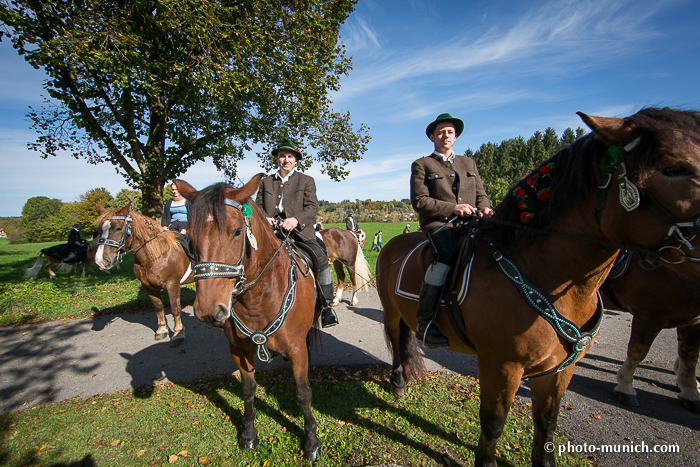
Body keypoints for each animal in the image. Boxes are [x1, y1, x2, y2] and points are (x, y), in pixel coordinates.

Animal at [93, 205, 193, 344]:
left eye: (118, 228)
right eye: (97, 230)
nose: (101, 261)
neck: (157, 253)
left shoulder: (172, 284)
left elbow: (175, 308)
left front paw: (178, 334)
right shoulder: (148, 286)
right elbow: (158, 307)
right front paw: (162, 331)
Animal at [179, 177, 324, 462]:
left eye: (237, 232)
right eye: (189, 236)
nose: (208, 311)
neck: (260, 298)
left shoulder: (297, 350)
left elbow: (303, 393)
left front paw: (311, 441)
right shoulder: (239, 350)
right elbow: (248, 390)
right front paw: (248, 434)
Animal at [600, 252, 700, 414]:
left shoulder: (693, 322)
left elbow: (690, 357)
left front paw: (690, 390)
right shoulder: (650, 316)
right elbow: (637, 352)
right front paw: (625, 387)